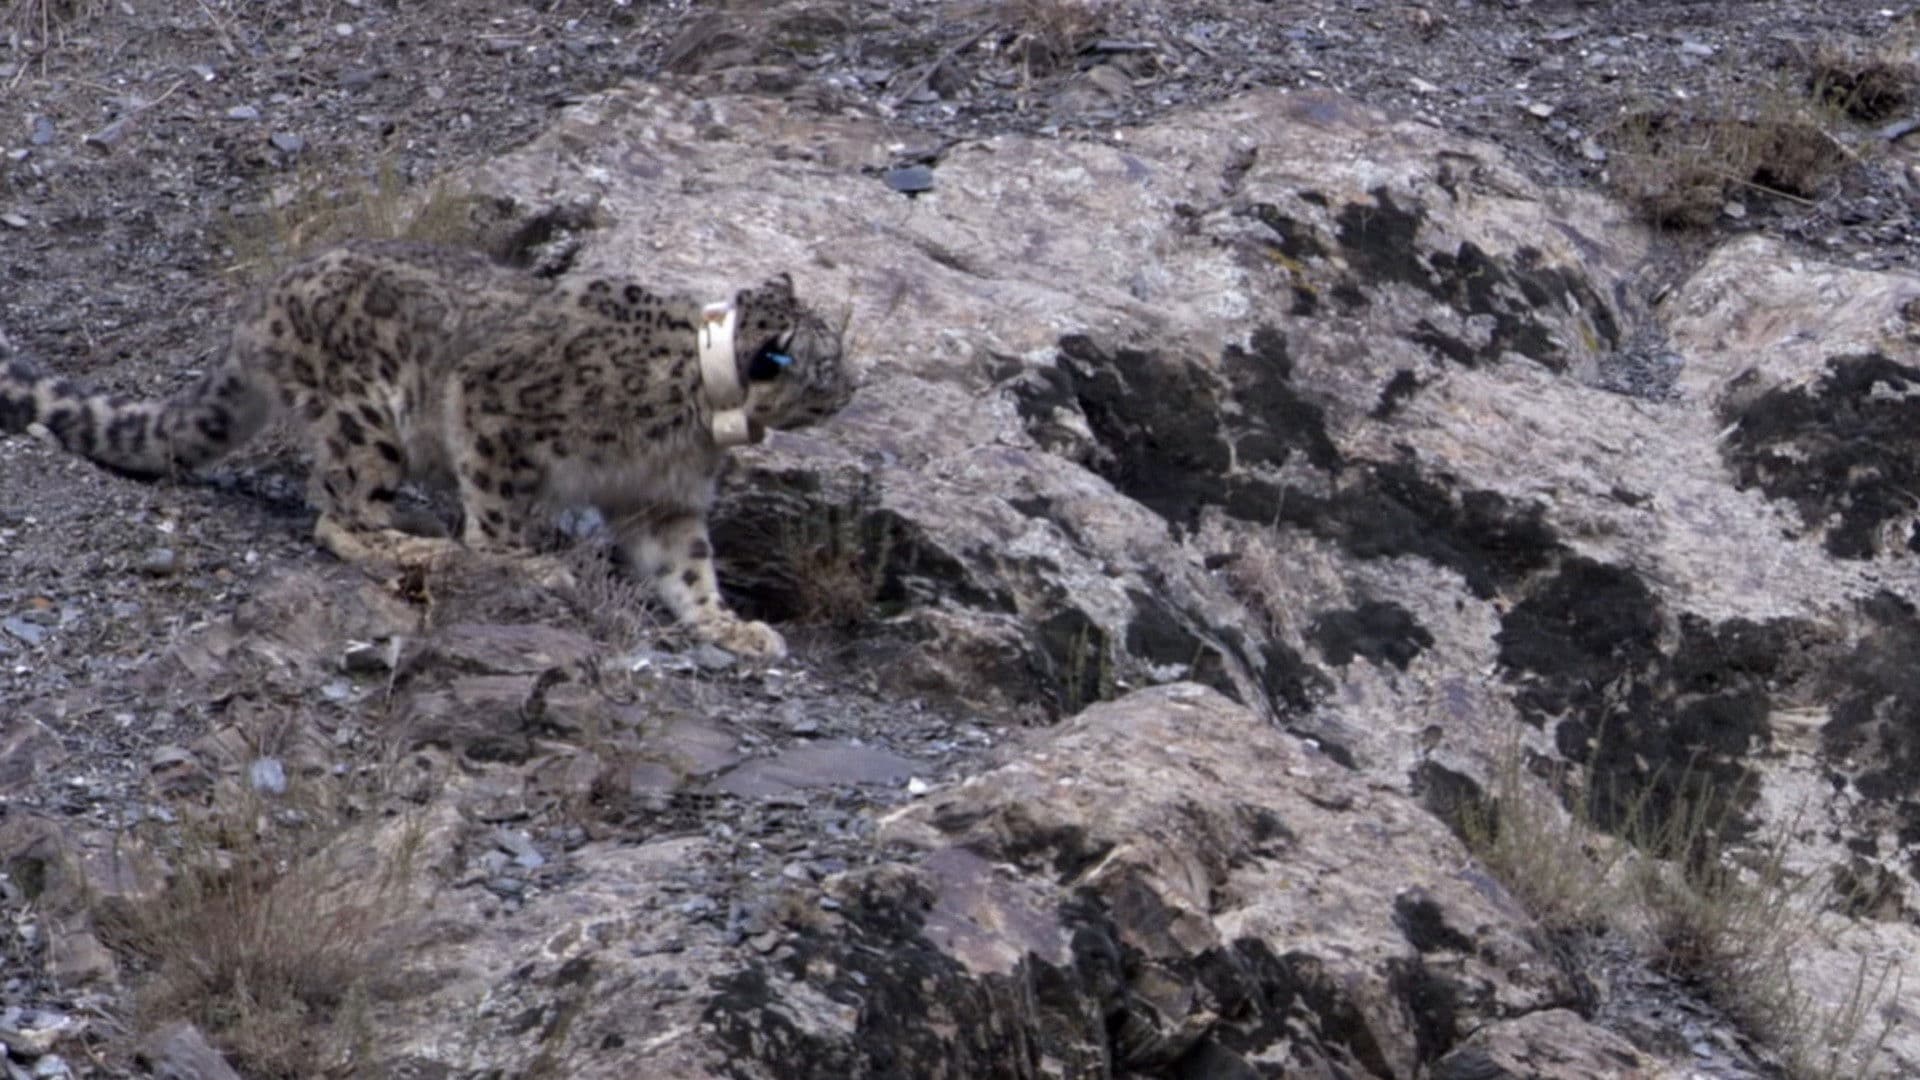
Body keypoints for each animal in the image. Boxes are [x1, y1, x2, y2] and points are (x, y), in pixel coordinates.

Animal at [0, 239, 853, 659]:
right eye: (830, 360)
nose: (854, 388)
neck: (694, 418)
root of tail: (262, 304)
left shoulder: (663, 500)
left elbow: (689, 570)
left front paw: (728, 627)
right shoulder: (496, 406)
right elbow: (498, 509)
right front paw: (523, 561)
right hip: (367, 423)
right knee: (338, 515)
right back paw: (419, 545)